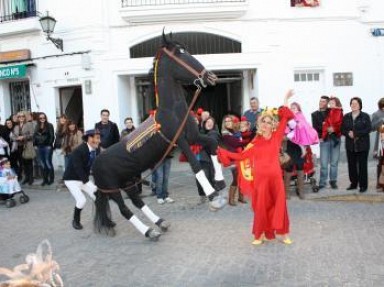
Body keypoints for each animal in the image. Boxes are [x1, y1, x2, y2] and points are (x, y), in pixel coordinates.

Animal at [91, 32, 226, 242]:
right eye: (180, 52)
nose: (210, 77)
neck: (173, 111)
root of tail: (95, 163)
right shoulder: (180, 140)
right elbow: (196, 165)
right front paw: (213, 195)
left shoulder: (194, 136)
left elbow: (212, 143)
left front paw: (219, 182)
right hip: (113, 190)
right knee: (124, 210)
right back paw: (149, 231)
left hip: (128, 182)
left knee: (137, 202)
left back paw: (160, 223)